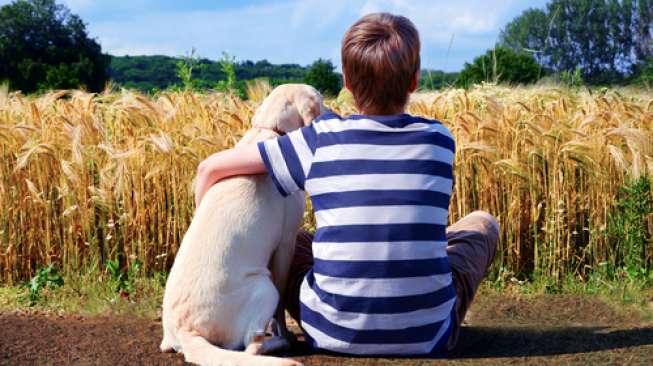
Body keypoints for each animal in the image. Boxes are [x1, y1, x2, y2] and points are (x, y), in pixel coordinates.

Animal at [160, 84, 324, 366]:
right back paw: (280, 344)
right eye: (321, 100)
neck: (270, 129)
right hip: (264, 286)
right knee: (251, 347)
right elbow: (280, 308)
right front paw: (283, 331)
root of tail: (185, 330)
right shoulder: (286, 242)